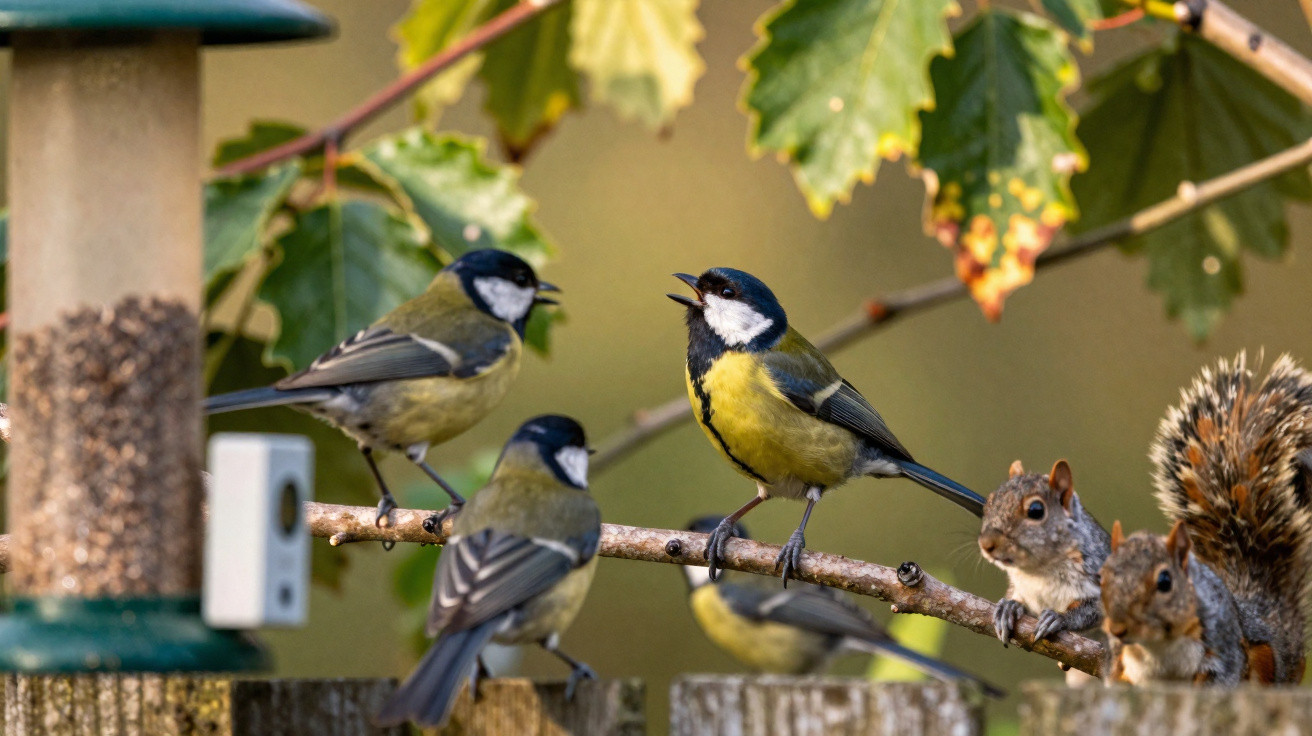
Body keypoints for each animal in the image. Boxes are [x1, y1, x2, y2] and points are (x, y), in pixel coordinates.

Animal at [979, 459, 1111, 646]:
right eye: (988, 504)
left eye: (1036, 510)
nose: (986, 544)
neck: (1040, 570)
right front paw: (1009, 606)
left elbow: (1092, 611)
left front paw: (1059, 617)